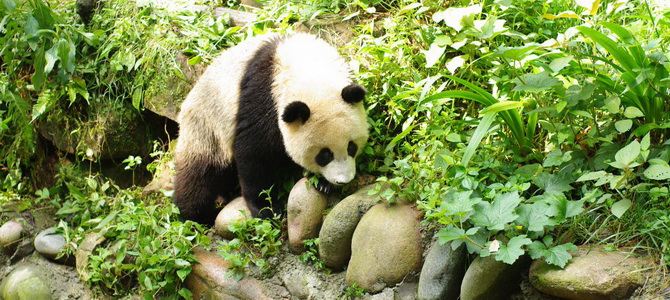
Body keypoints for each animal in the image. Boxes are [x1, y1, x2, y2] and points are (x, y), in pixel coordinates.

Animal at [173, 33, 370, 225]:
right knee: (201, 172)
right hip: (207, 126)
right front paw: (268, 208)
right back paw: (198, 215)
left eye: (351, 147)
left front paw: (322, 183)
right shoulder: (263, 97)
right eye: (324, 154)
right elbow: (255, 154)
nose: (343, 180)